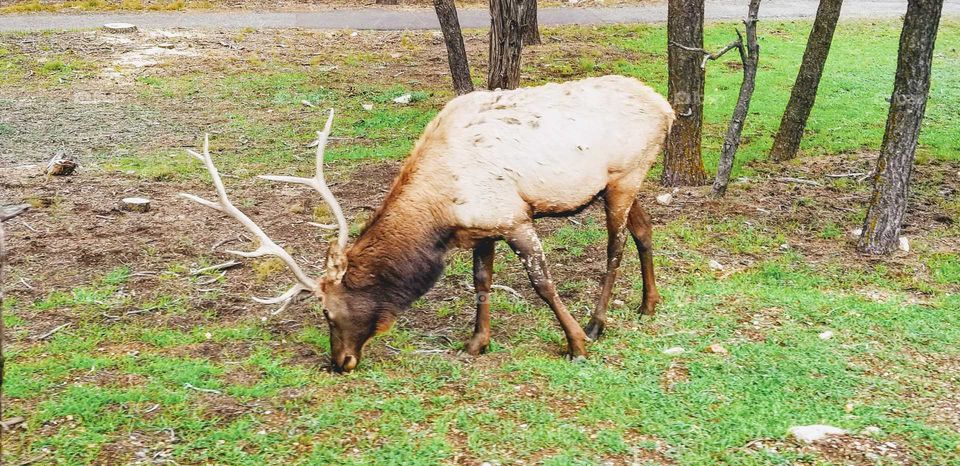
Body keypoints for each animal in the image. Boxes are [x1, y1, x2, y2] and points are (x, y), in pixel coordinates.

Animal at [182, 75, 674, 373]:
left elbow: (543, 284)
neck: (441, 213)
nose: (339, 362)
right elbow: (482, 280)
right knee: (644, 229)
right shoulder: (484, 227)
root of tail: (667, 106)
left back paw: (597, 323)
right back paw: (649, 304)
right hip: (623, 183)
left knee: (615, 246)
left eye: (326, 311)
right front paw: (476, 343)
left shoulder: (513, 216)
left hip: (623, 176)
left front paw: (575, 345)